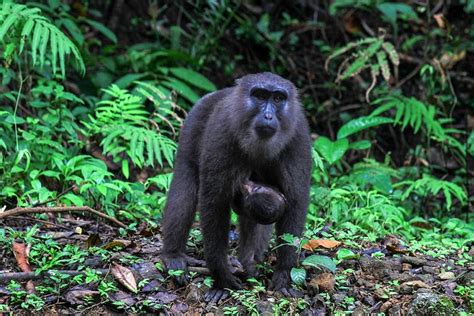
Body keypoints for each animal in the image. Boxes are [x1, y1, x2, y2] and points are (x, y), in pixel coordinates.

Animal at [161, 71, 312, 302]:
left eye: (278, 98)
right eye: (259, 95)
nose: (268, 116)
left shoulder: (298, 137)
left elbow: (294, 202)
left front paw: (284, 273)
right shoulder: (222, 131)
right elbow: (214, 202)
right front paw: (222, 277)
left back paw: (249, 261)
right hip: (195, 118)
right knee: (185, 186)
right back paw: (173, 255)